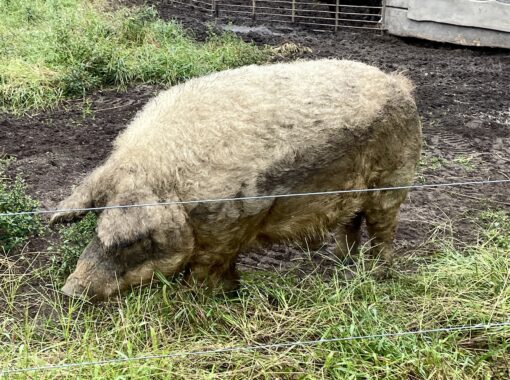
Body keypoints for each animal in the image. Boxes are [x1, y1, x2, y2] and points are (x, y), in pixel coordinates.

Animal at [49, 59, 420, 302]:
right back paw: (337, 266)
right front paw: (231, 293)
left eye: (127, 243)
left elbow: (205, 270)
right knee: (350, 223)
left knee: (383, 229)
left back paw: (377, 275)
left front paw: (193, 300)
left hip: (394, 180)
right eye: (95, 226)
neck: (176, 191)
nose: (70, 290)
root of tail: (399, 83)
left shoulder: (229, 227)